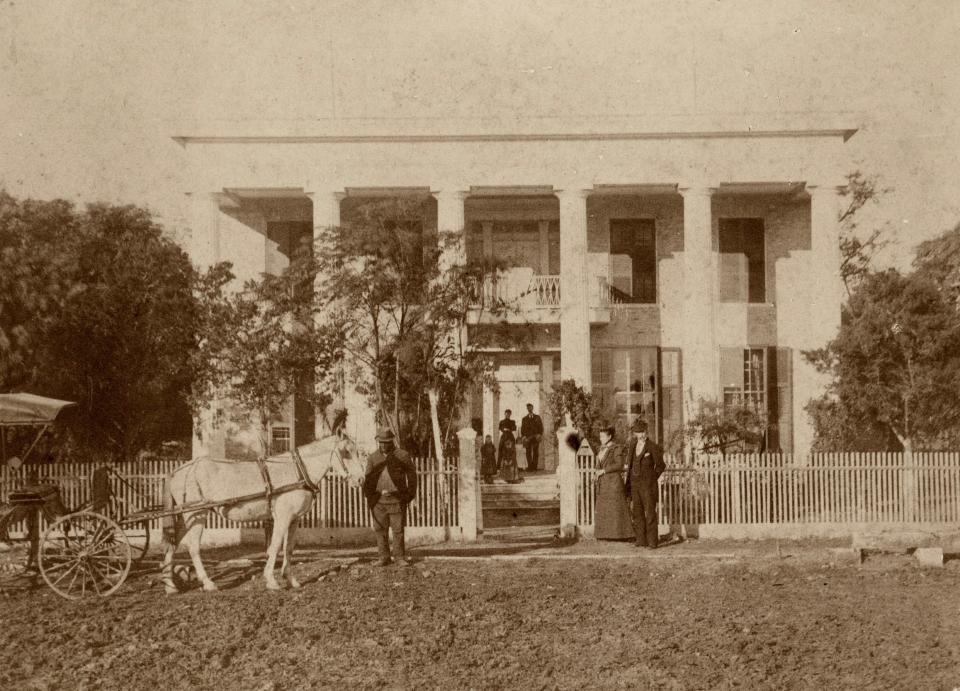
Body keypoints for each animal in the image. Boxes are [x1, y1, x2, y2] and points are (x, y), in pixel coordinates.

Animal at [159, 436, 366, 592]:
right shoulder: (282, 518)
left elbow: (289, 548)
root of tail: (180, 470)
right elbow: (274, 547)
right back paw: (208, 583)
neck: (297, 470)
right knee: (193, 547)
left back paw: (170, 586)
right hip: (197, 515)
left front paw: (291, 580)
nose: (360, 479)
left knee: (172, 544)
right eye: (346, 452)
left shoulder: (294, 519)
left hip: (186, 518)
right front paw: (271, 581)